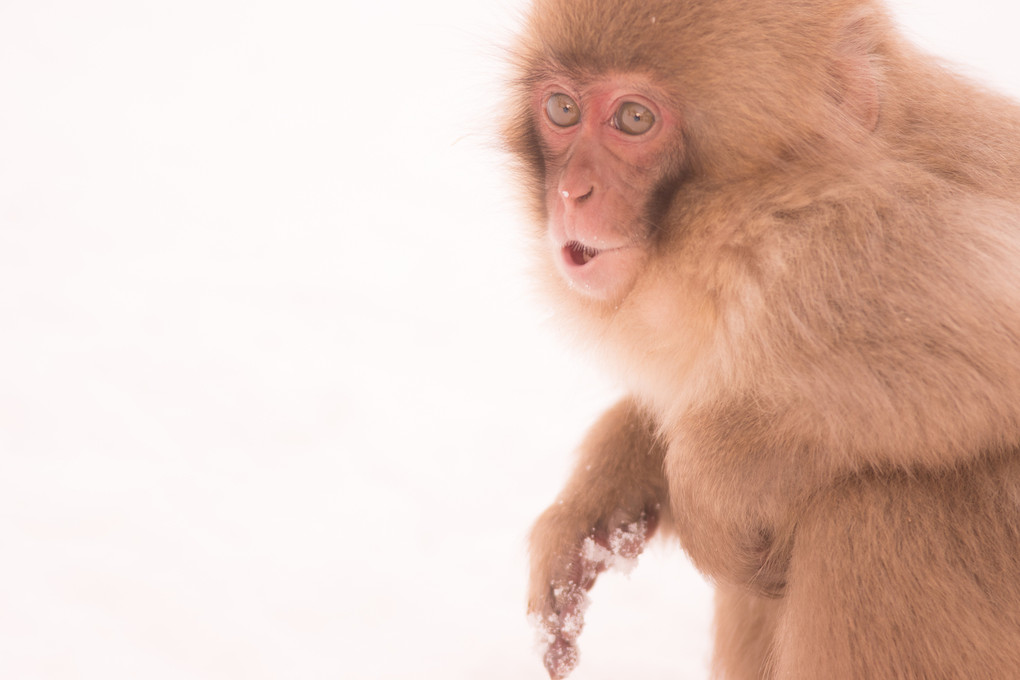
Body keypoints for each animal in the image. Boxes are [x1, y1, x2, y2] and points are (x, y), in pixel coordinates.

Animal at [507, 1, 1020, 680]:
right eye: (563, 109)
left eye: (634, 119)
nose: (572, 193)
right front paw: (595, 504)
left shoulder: (858, 246)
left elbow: (990, 347)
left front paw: (705, 486)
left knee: (873, 511)